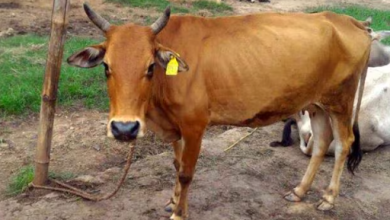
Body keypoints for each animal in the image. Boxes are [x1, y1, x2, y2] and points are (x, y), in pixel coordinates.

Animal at [68, 3, 372, 220]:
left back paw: (328, 198)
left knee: (343, 143)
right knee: (321, 143)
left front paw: (179, 213)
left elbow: (186, 172)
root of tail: (348, 20)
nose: (124, 128)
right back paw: (299, 191)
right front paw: (173, 201)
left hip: (341, 101)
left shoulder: (195, 125)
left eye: (150, 67)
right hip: (316, 104)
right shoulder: (176, 126)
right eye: (106, 67)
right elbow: (176, 164)